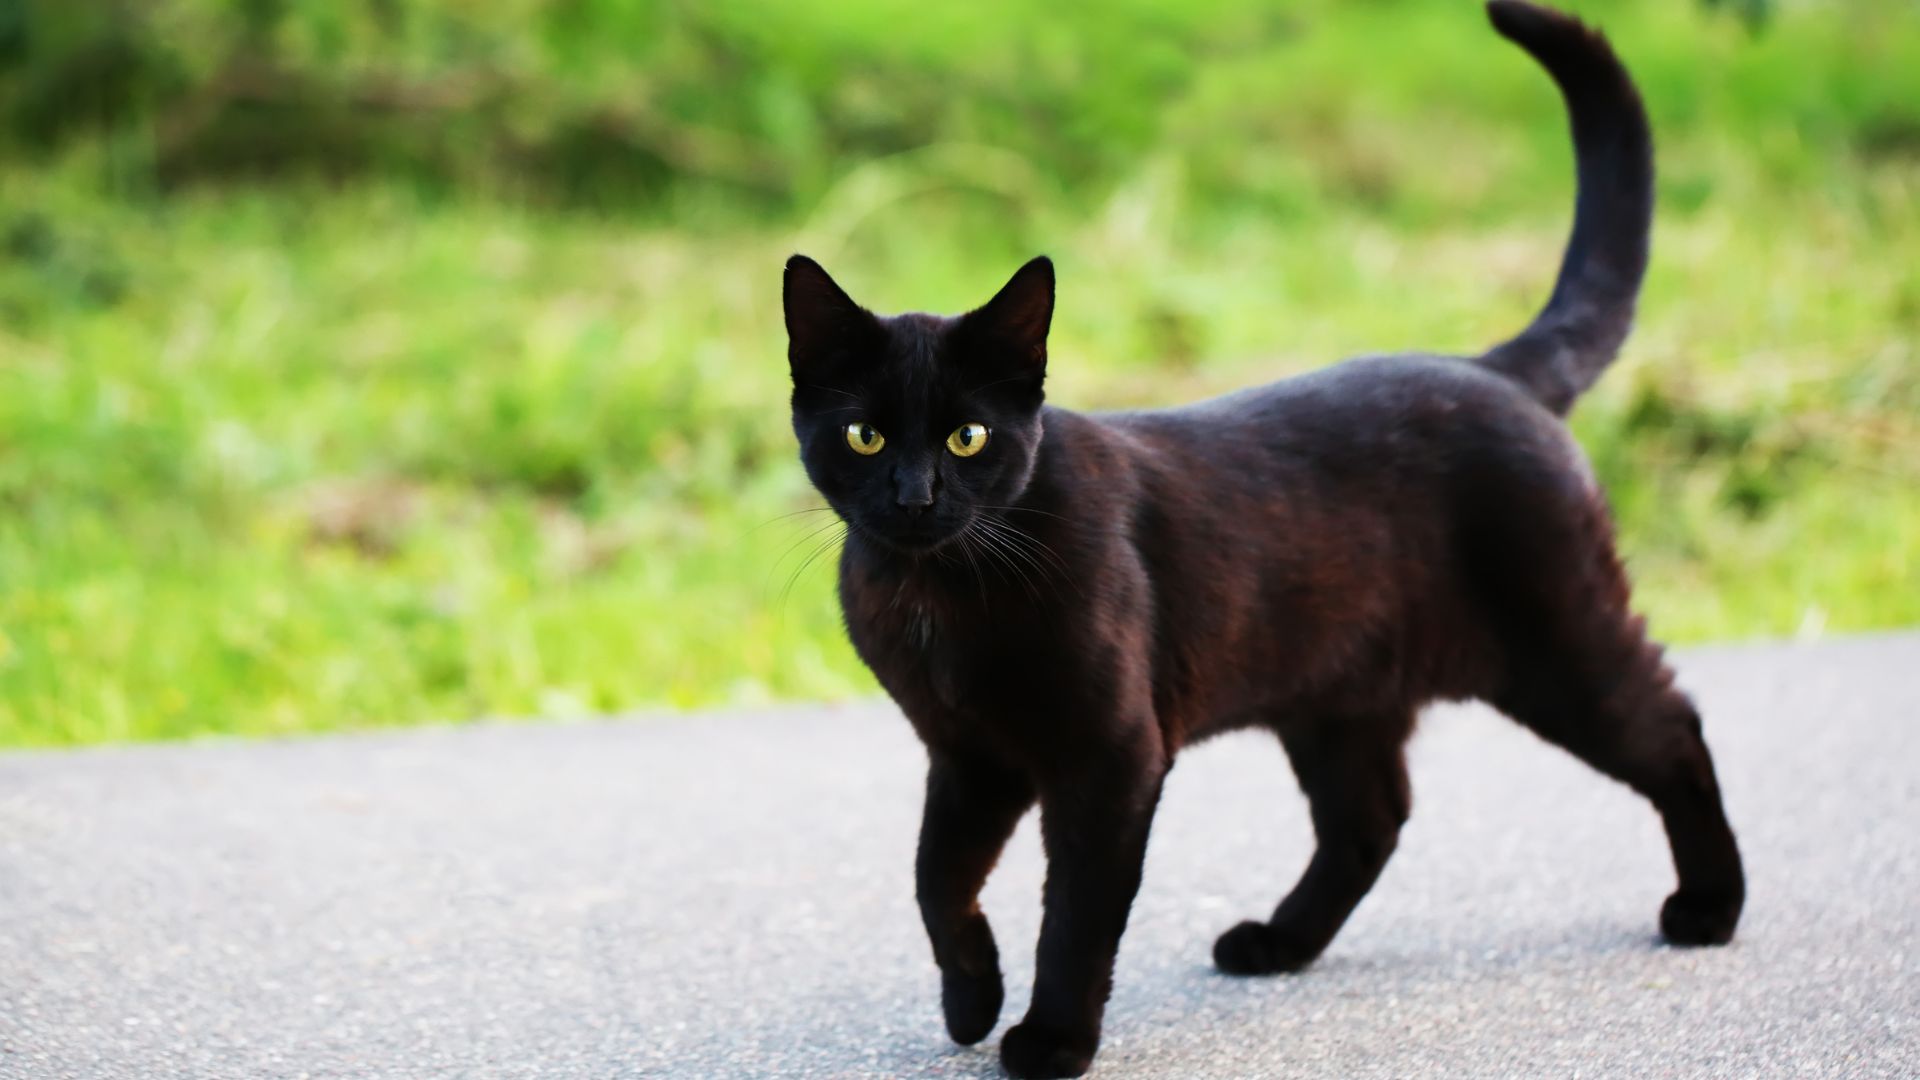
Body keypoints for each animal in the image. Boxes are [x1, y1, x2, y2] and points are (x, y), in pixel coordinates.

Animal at [779, 4, 1743, 1068]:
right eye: (865, 435)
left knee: (1673, 726)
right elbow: (934, 881)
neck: (939, 594)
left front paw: (1051, 1039)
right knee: (1372, 818)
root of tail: (1493, 369)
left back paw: (1710, 906)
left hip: (1558, 639)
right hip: (1336, 692)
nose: (913, 497)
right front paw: (970, 1001)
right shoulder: (969, 758)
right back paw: (1278, 943)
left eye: (968, 436)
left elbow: (1073, 915)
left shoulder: (1109, 757)